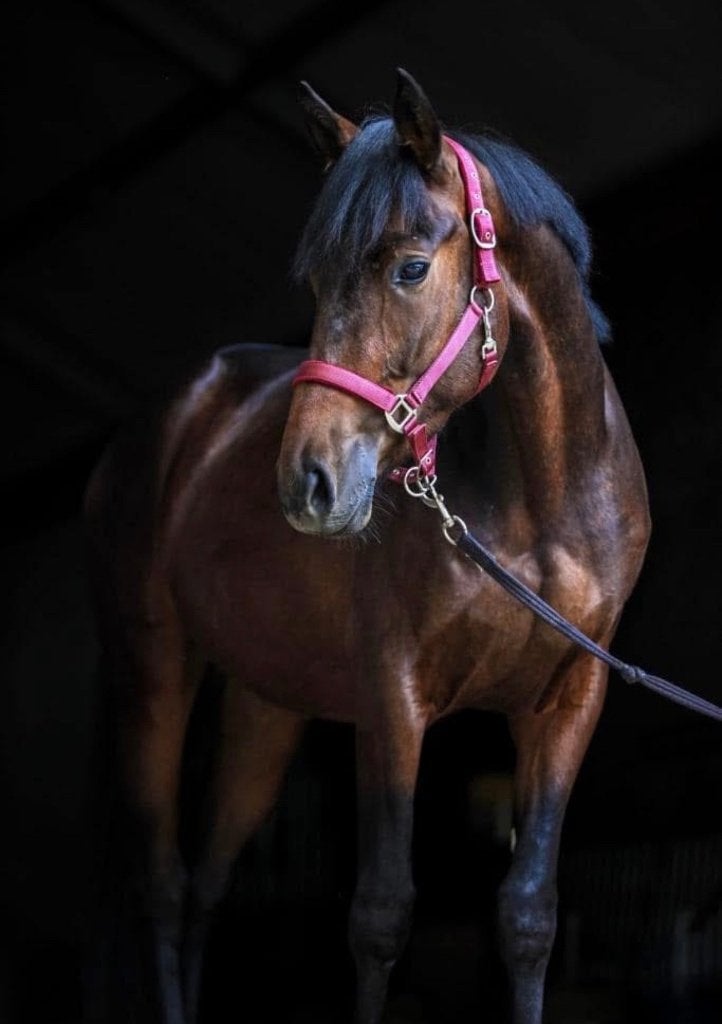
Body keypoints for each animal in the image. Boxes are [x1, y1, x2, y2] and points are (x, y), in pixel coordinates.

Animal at [83, 69, 651, 1024]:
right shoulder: (394, 698)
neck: (545, 506)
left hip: (267, 704)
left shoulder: (568, 705)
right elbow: (380, 916)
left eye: (411, 268)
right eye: (314, 283)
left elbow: (528, 916)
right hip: (152, 668)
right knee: (163, 886)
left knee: (207, 889)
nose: (306, 483)